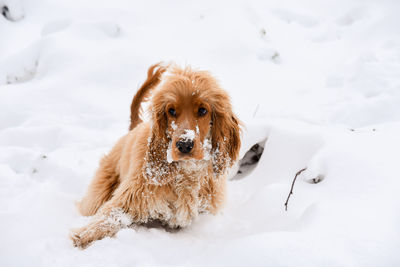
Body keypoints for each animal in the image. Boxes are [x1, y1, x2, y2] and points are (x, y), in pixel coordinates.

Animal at [69, 62, 241, 249]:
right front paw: (82, 236)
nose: (184, 145)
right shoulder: (132, 196)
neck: (186, 172)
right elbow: (108, 217)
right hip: (100, 188)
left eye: (203, 110)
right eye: (171, 110)